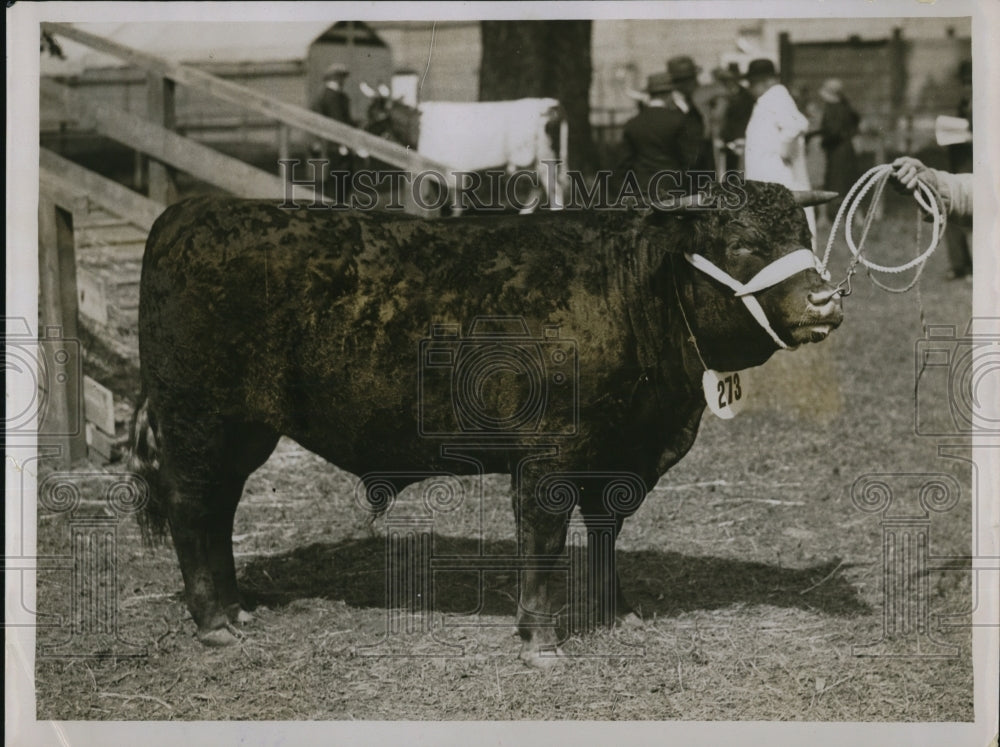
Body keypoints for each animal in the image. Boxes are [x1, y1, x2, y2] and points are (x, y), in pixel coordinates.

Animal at [129, 181, 840, 668]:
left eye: (804, 234)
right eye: (742, 243)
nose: (825, 300)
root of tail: (190, 212)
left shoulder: (617, 459)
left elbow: (604, 534)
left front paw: (617, 612)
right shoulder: (549, 459)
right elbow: (544, 543)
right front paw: (541, 640)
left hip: (241, 429)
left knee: (219, 510)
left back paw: (236, 608)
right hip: (198, 419)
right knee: (193, 507)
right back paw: (214, 622)